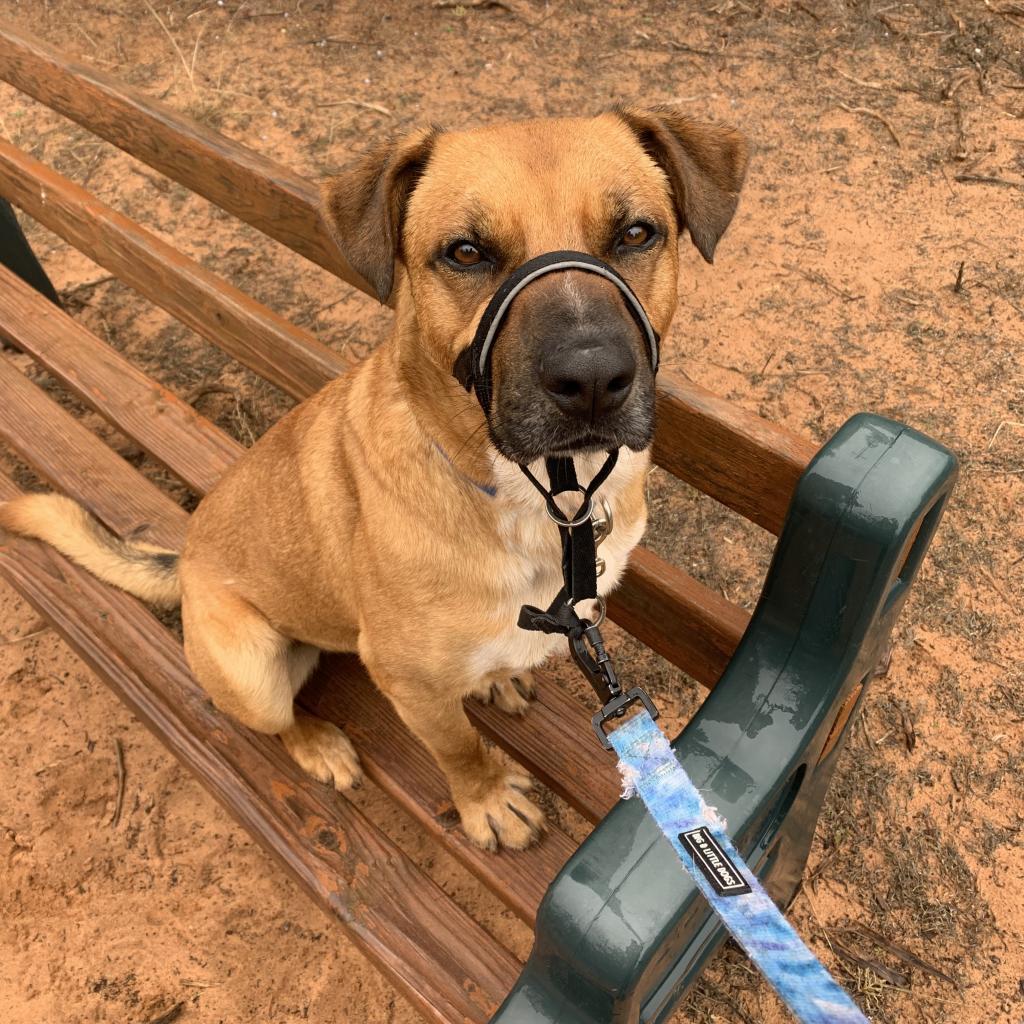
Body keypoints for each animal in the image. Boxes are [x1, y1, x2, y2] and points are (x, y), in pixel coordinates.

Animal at [2, 108, 753, 851]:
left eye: (636, 234)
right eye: (466, 252)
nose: (592, 378)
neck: (541, 503)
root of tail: (185, 562)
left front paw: (499, 680)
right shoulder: (409, 682)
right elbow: (457, 748)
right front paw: (487, 801)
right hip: (251, 669)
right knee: (279, 721)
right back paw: (320, 746)